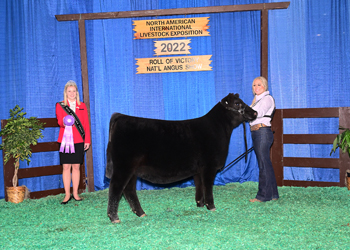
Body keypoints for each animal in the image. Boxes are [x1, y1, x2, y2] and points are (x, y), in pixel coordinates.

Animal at [105, 93, 256, 223]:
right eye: (237, 103)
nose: (255, 112)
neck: (217, 128)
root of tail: (121, 116)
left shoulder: (198, 170)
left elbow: (199, 186)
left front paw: (200, 205)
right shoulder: (209, 166)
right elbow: (208, 186)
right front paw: (211, 206)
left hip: (132, 170)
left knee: (129, 190)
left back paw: (141, 213)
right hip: (123, 166)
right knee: (116, 188)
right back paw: (114, 217)